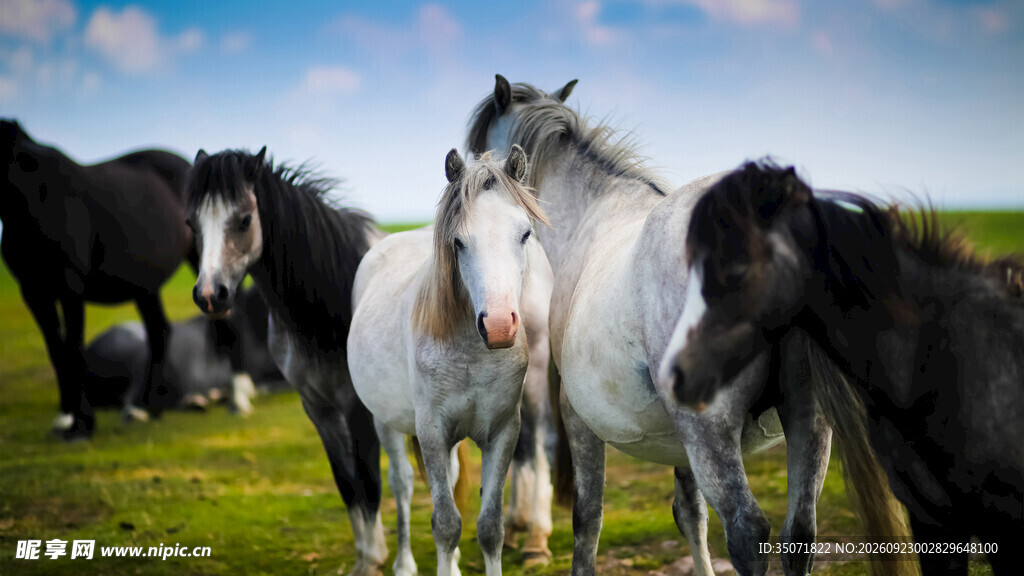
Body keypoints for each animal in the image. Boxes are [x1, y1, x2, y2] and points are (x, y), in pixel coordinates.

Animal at [1, 119, 193, 440]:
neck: (36, 197)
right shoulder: (34, 291)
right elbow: (57, 352)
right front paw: (66, 418)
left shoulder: (70, 286)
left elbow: (74, 350)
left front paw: (81, 425)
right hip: (145, 287)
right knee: (159, 331)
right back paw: (146, 408)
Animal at [185, 147, 388, 576]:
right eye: (191, 223)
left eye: (244, 219)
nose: (210, 295)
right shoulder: (318, 409)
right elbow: (348, 484)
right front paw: (367, 557)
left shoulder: (358, 409)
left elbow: (369, 482)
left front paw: (373, 561)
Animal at [347, 146, 550, 576]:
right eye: (458, 242)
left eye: (525, 234)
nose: (498, 326)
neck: (472, 354)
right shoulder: (432, 433)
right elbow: (445, 523)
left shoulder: (502, 432)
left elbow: (490, 526)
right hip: (385, 422)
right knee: (403, 484)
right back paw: (404, 564)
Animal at [467, 76, 847, 576]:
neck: (593, 213)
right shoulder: (677, 440)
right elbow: (690, 513)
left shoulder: (578, 416)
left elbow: (587, 518)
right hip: (808, 421)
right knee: (798, 533)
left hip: (710, 431)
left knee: (747, 531)